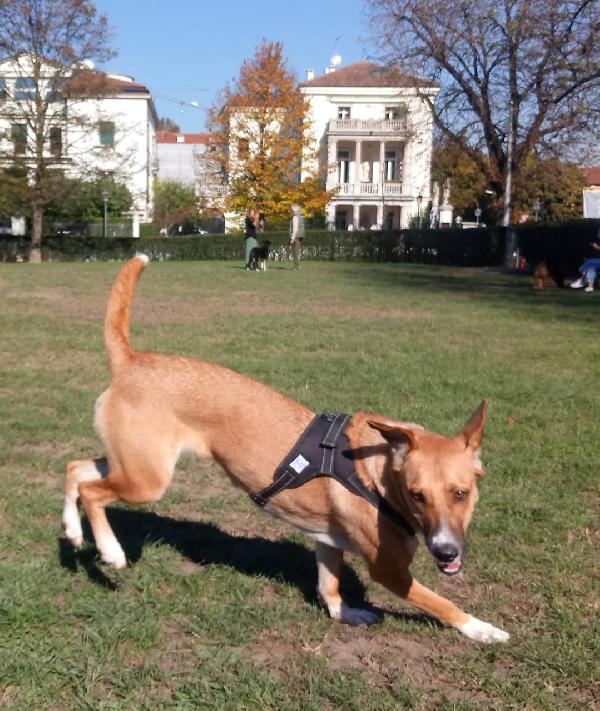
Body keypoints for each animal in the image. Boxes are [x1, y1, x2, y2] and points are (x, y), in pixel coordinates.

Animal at [61, 256, 508, 644]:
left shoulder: (328, 541)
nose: (447, 551)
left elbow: (329, 586)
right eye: (418, 495)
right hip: (147, 481)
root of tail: (130, 360)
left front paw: (347, 613)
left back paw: (73, 532)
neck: (378, 475)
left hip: (132, 463)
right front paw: (481, 629)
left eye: (461, 493)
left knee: (75, 469)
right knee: (93, 492)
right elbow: (442, 604)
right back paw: (111, 552)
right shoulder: (390, 571)